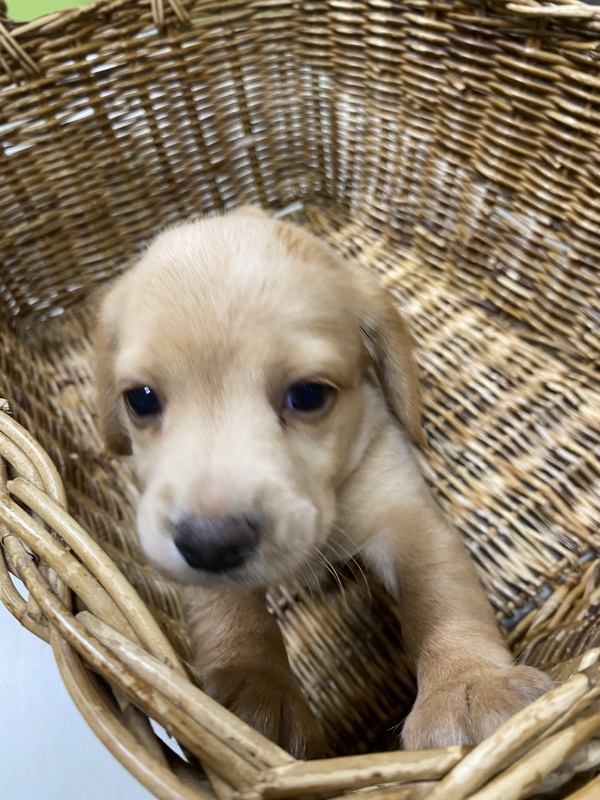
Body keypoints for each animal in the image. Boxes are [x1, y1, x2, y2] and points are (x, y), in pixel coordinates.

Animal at [94, 205, 552, 759]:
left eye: (309, 395)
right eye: (140, 399)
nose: (210, 544)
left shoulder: (405, 514)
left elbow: (443, 598)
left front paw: (469, 682)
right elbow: (230, 614)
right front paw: (254, 693)